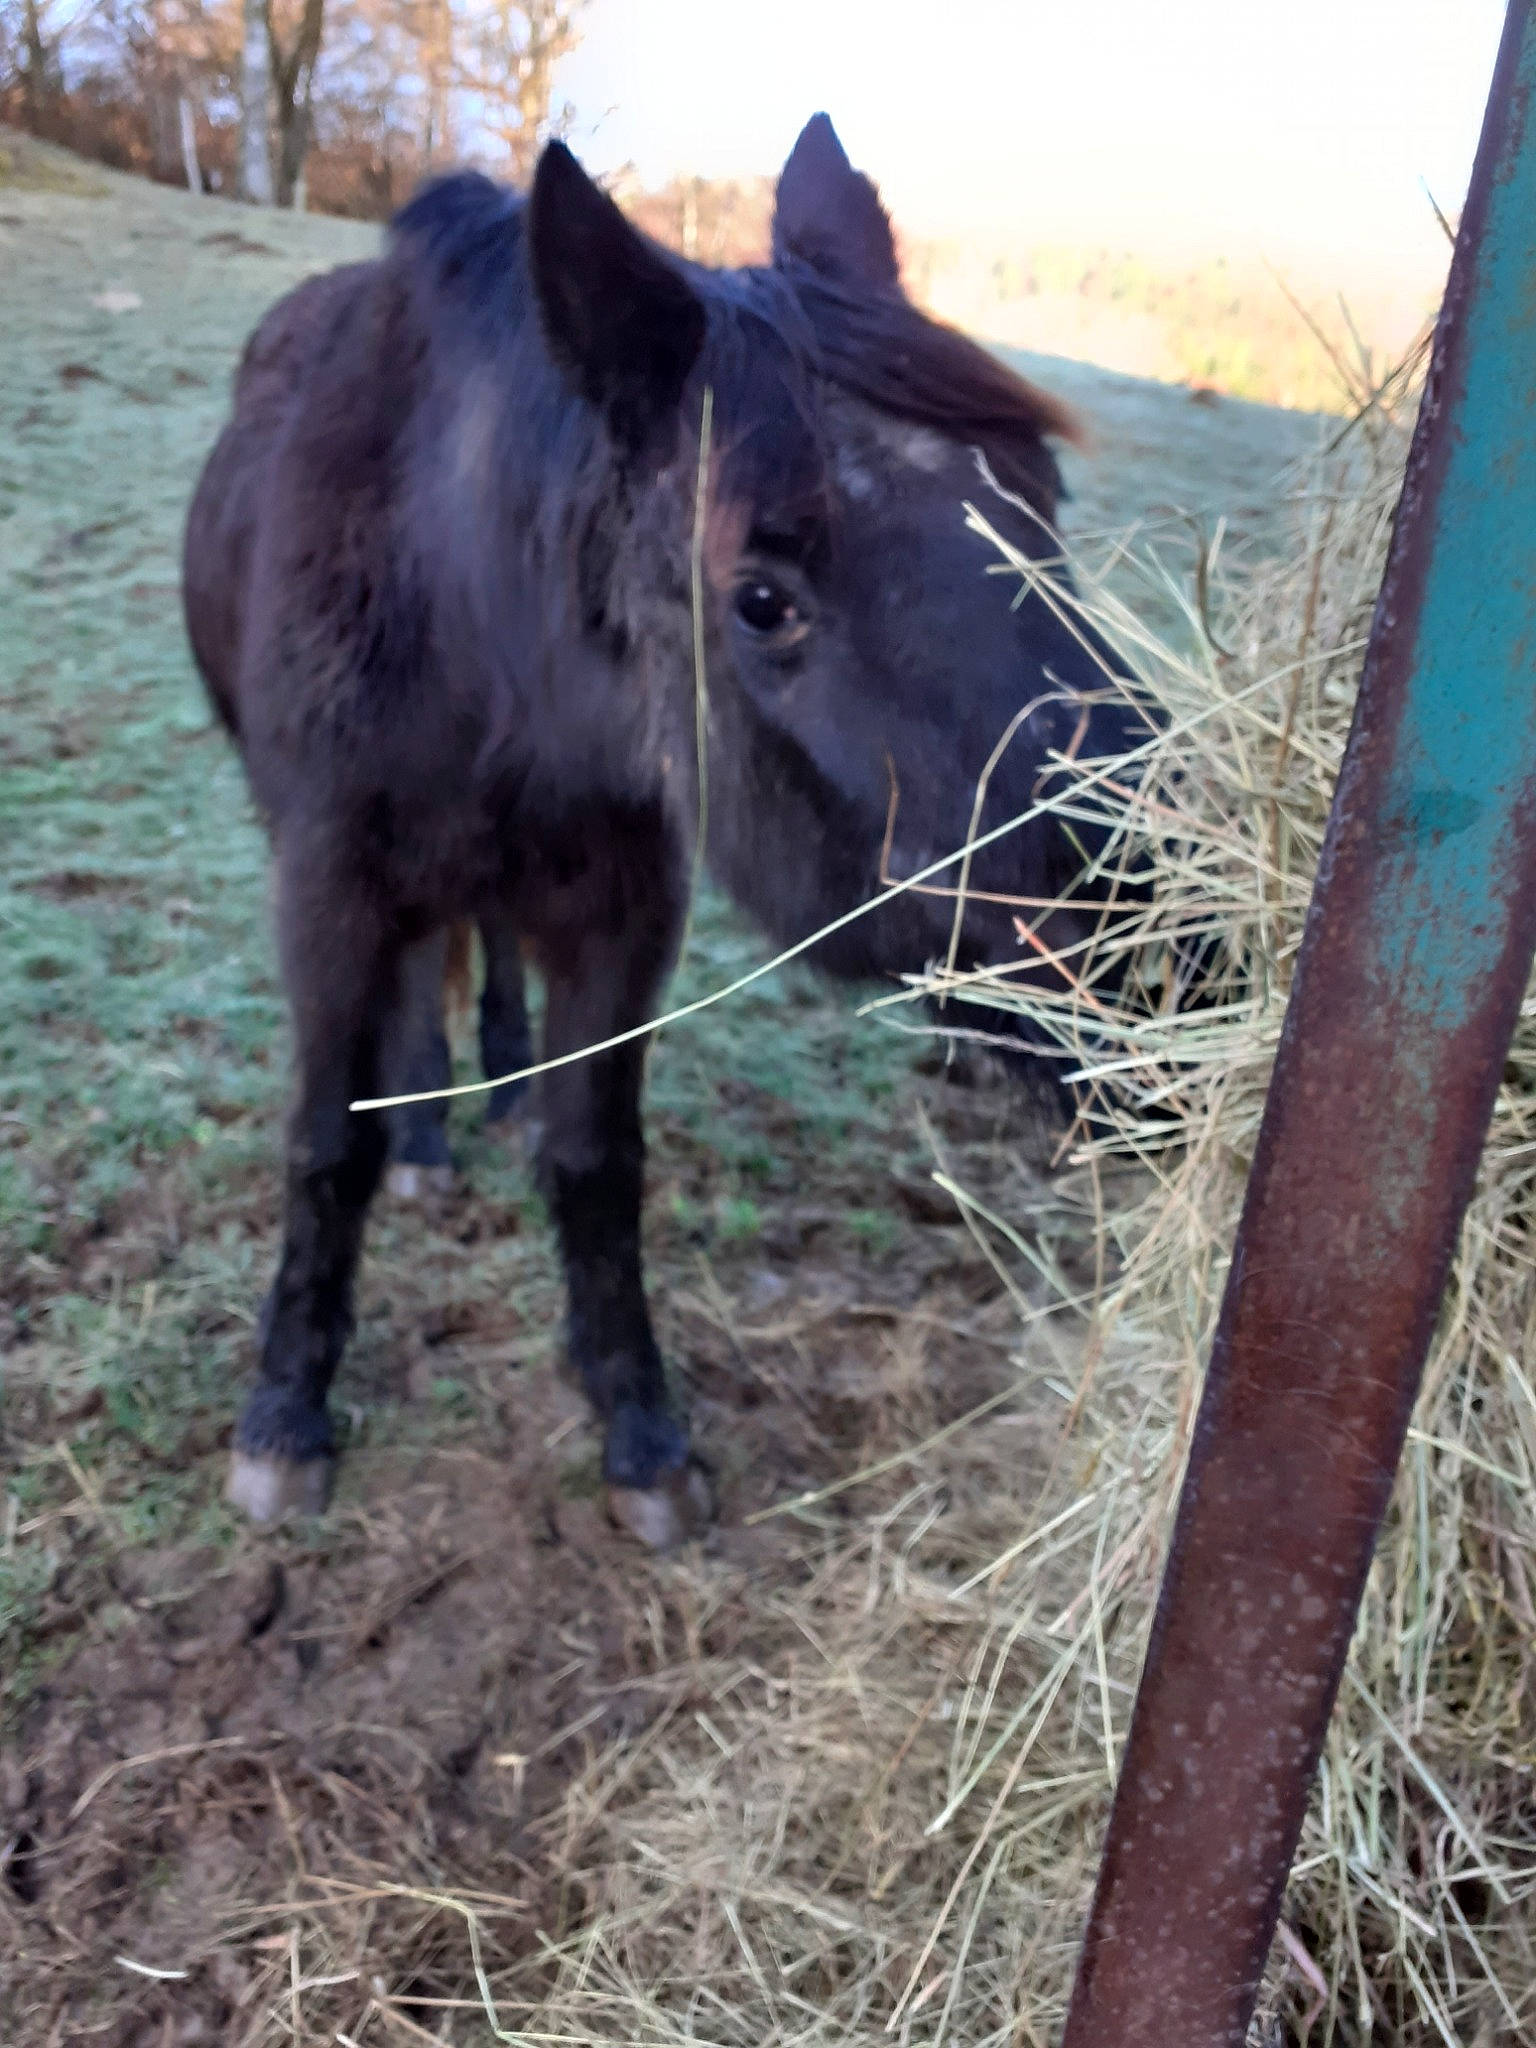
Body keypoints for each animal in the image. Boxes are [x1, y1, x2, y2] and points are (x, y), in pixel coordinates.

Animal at [182, 113, 1147, 1547]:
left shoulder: (622, 904)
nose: (1165, 943)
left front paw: (638, 1431)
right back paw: (430, 1133)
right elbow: (327, 1141)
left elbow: (595, 1159)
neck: (461, 607)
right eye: (760, 599)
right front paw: (284, 1414)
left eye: (1039, 507)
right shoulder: (328, 884)